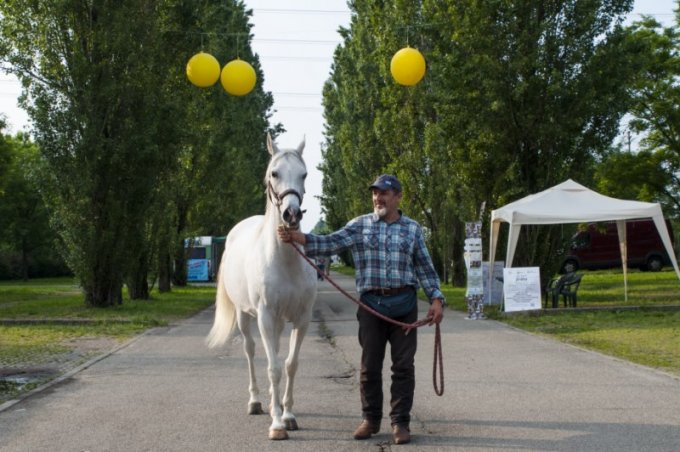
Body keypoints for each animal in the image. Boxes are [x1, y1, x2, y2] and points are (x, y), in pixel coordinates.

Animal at [206, 132, 318, 440]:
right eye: (274, 173)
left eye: (304, 174)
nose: (291, 214)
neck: (285, 262)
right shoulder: (265, 317)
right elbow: (273, 367)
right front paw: (277, 425)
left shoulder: (301, 319)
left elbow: (289, 365)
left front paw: (288, 414)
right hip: (246, 317)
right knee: (251, 351)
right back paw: (256, 402)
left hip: (278, 322)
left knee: (276, 353)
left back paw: (271, 402)